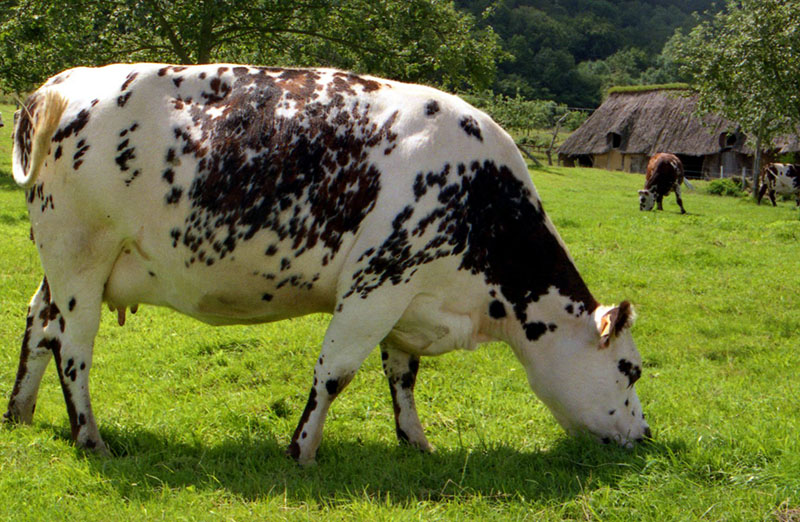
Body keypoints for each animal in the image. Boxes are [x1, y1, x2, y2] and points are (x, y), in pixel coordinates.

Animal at [6, 64, 648, 464]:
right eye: (632, 370)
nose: (644, 435)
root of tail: (60, 85)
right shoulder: (378, 282)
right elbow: (334, 373)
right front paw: (301, 451)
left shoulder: (408, 296)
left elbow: (402, 374)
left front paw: (415, 443)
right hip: (80, 257)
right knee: (73, 347)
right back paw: (90, 438)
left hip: (65, 266)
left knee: (38, 323)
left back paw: (19, 412)